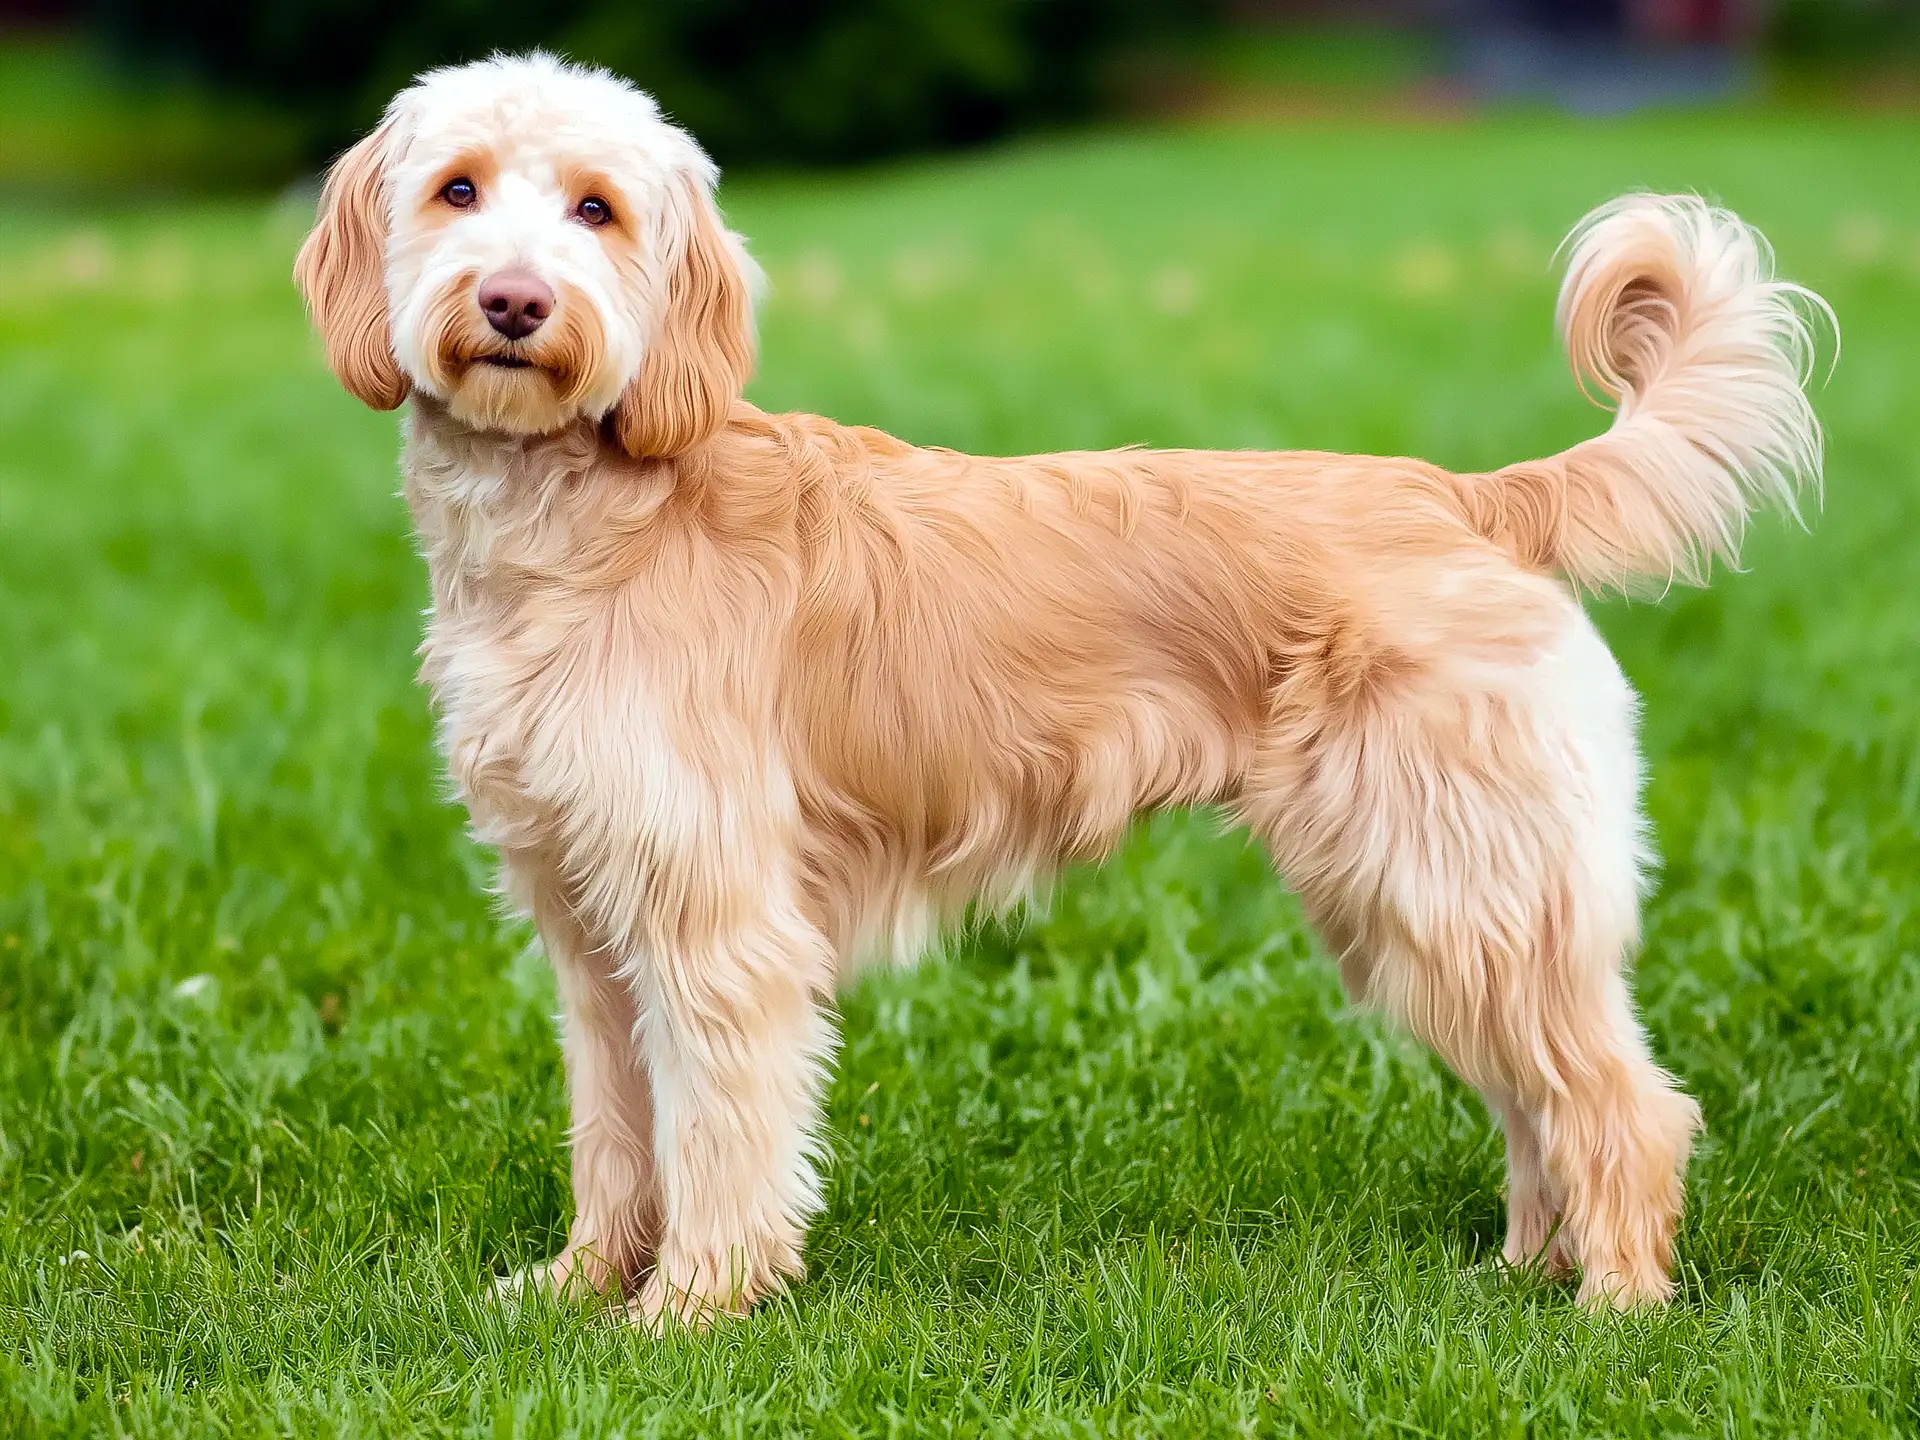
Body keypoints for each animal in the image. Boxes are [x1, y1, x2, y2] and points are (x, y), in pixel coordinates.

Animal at [295, 50, 1827, 1328]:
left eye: (599, 210)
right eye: (458, 187)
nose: (515, 303)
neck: (592, 518)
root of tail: (1465, 497)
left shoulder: (715, 926)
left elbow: (715, 1137)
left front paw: (688, 1313)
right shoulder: (588, 925)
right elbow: (617, 1137)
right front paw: (573, 1288)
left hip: (1464, 886)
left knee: (1624, 1102)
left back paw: (1614, 1309)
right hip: (1423, 903)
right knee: (1534, 1101)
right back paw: (1525, 1272)